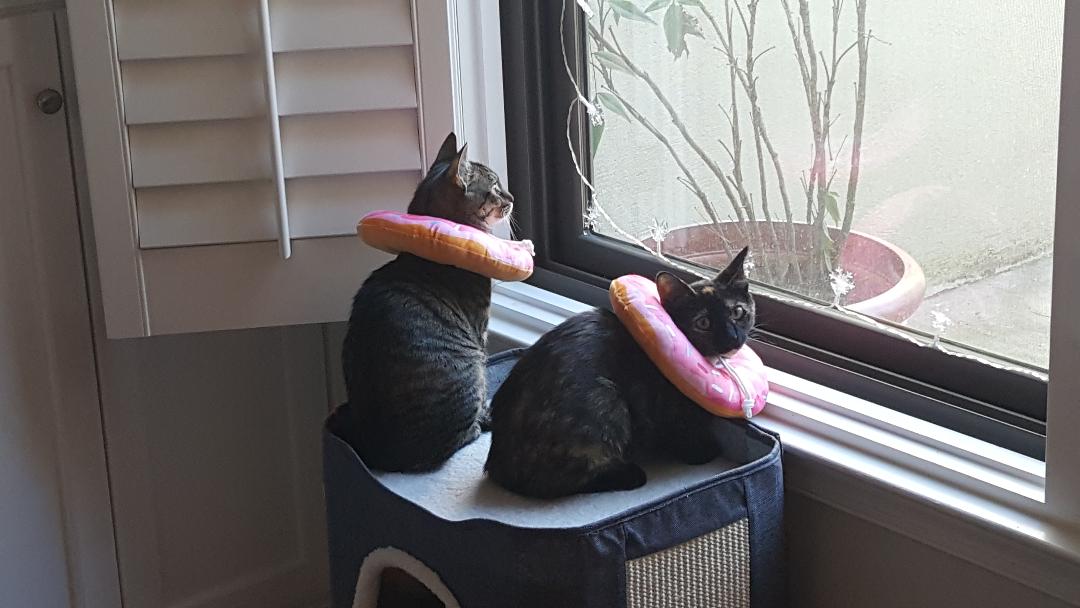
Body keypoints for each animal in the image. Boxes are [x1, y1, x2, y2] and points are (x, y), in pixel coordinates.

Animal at [340, 132, 520, 472]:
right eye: (494, 185)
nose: (512, 196)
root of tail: (385, 456)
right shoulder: (481, 330)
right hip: (471, 367)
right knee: (464, 433)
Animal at [485, 247, 755, 498]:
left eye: (737, 312)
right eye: (703, 323)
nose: (732, 338)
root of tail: (497, 463)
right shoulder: (663, 407)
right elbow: (678, 431)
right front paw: (700, 451)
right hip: (606, 401)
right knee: (549, 481)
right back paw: (629, 474)